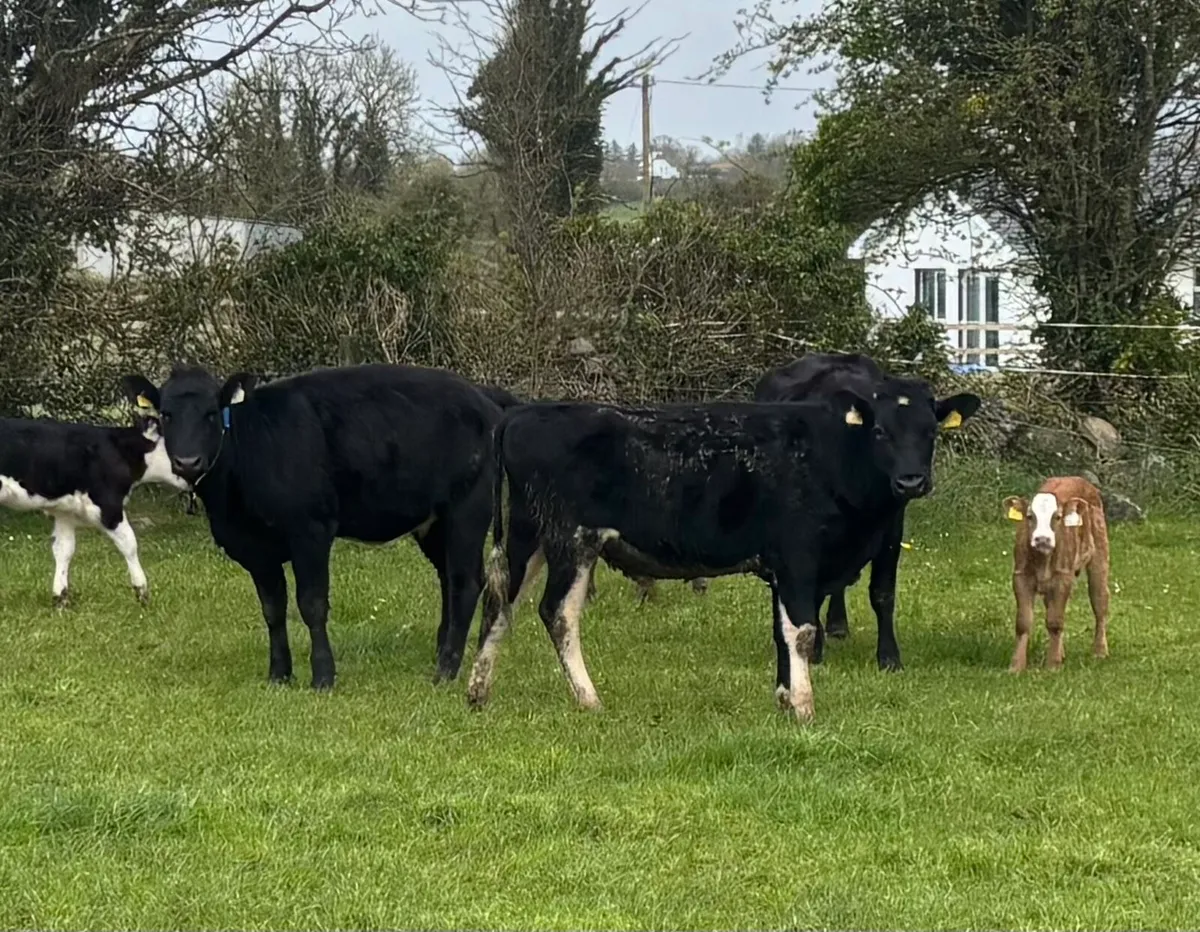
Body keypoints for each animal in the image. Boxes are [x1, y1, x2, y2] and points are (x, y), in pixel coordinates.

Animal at [0, 405, 190, 607]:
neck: (119, 450)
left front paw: (61, 599)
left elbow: (64, 549)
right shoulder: (108, 505)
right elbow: (130, 544)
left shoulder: (64, 511)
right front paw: (142, 593)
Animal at [119, 363, 504, 690]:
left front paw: (323, 676)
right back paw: (447, 654)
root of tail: (481, 396)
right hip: (434, 522)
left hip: (467, 510)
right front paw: (279, 674)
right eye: (166, 415)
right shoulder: (254, 548)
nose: (187, 461)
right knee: (451, 579)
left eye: (212, 413)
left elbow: (312, 604)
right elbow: (273, 609)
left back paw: (446, 670)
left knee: (466, 583)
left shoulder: (311, 531)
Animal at [466, 383, 981, 723]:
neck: (831, 456)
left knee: (500, 606)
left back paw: (478, 691)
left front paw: (784, 696)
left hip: (528, 537)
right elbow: (801, 632)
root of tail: (526, 413)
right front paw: (804, 706)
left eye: (930, 431)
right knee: (557, 613)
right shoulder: (798, 557)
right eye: (880, 433)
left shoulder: (785, 568)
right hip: (572, 540)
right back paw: (588, 698)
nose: (911, 480)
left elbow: (781, 631)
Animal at [753, 351, 979, 669]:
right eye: (880, 431)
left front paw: (889, 657)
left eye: (931, 431)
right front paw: (813, 648)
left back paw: (837, 625)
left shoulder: (892, 527)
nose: (911, 482)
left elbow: (882, 593)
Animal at [1003, 476, 1110, 672]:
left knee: (1100, 601)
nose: (1042, 539)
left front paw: (1052, 665)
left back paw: (1100, 651)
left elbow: (1054, 622)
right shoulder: (1021, 576)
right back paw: (1062, 653)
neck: (1043, 561)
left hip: (1100, 555)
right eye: (1030, 516)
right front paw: (1017, 665)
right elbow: (1023, 622)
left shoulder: (1063, 577)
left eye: (1057, 517)